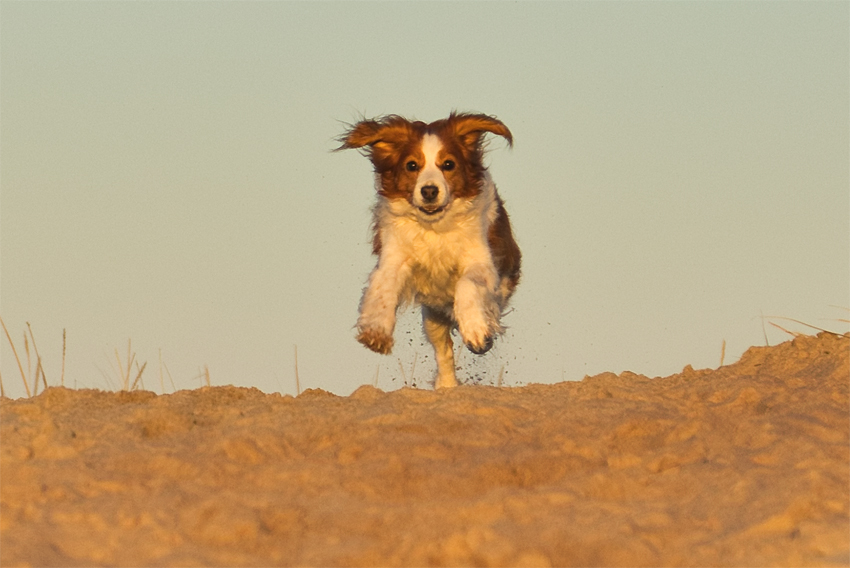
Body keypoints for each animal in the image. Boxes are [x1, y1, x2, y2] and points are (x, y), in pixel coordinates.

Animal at [336, 114, 516, 390]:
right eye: (412, 166)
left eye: (448, 164)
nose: (429, 191)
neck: (434, 227)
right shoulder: (395, 254)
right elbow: (382, 287)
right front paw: (376, 331)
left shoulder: (482, 261)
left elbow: (467, 285)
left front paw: (476, 331)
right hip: (433, 316)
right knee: (443, 350)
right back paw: (447, 386)